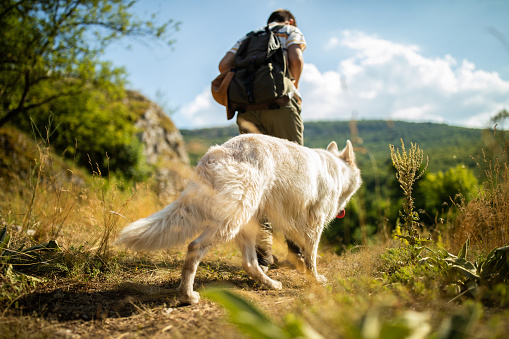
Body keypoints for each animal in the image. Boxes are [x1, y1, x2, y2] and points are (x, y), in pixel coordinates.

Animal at [115, 133, 362, 306]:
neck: (337, 169)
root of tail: (211, 156)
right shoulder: (313, 225)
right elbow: (311, 258)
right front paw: (315, 279)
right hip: (230, 223)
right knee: (195, 248)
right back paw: (187, 296)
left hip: (246, 222)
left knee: (250, 263)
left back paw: (270, 284)